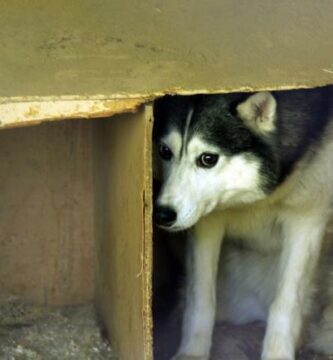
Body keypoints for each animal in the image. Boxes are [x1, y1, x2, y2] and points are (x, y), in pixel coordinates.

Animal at [153, 87, 332, 360]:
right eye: (165, 151)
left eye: (207, 159)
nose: (163, 214)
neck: (257, 199)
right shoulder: (207, 222)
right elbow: (200, 298)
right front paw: (192, 353)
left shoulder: (306, 219)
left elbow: (285, 303)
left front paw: (277, 354)